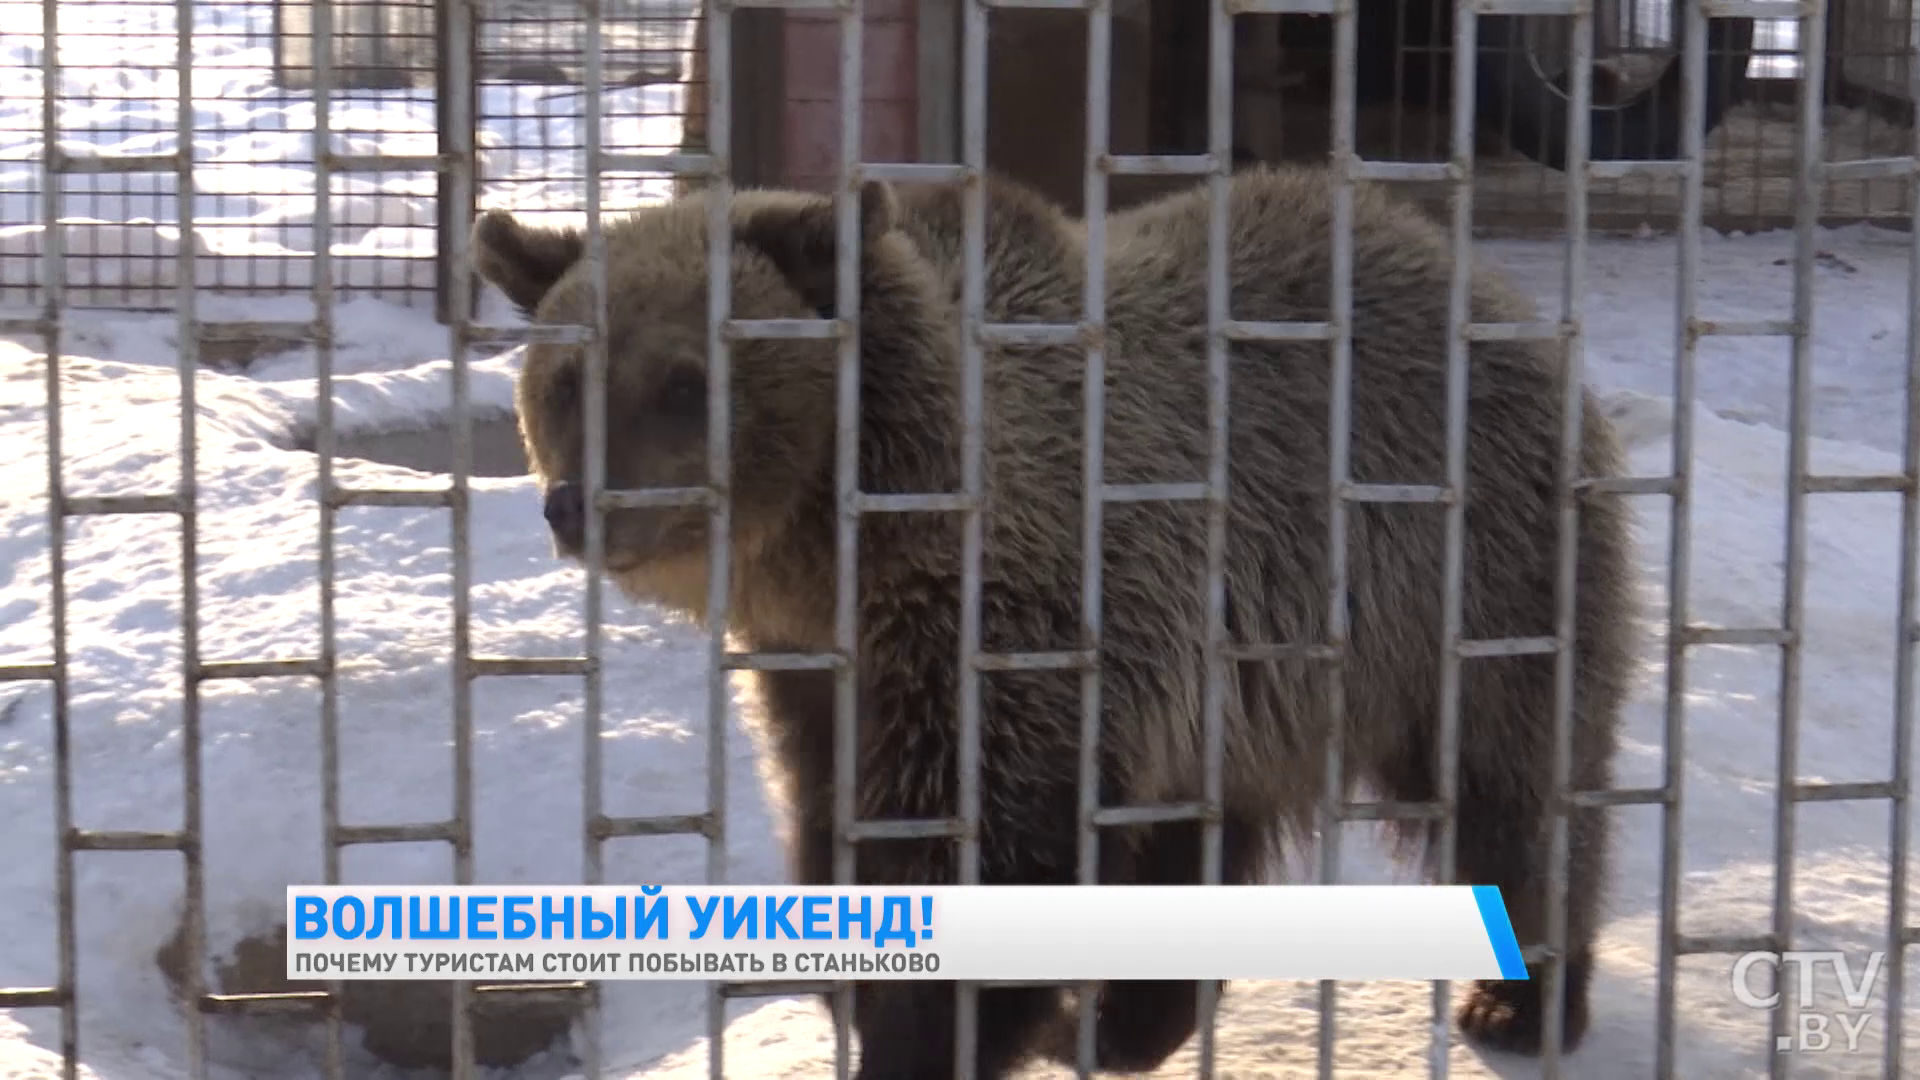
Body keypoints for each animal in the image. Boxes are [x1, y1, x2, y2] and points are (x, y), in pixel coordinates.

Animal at [468, 164, 1635, 1068]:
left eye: (687, 379)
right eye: (565, 378)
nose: (579, 503)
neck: (841, 552)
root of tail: (1478, 276)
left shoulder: (1014, 633)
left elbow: (992, 851)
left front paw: (931, 1039)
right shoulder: (820, 667)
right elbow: (839, 821)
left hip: (1464, 564)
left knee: (1512, 776)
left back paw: (1522, 995)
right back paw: (1130, 1023)